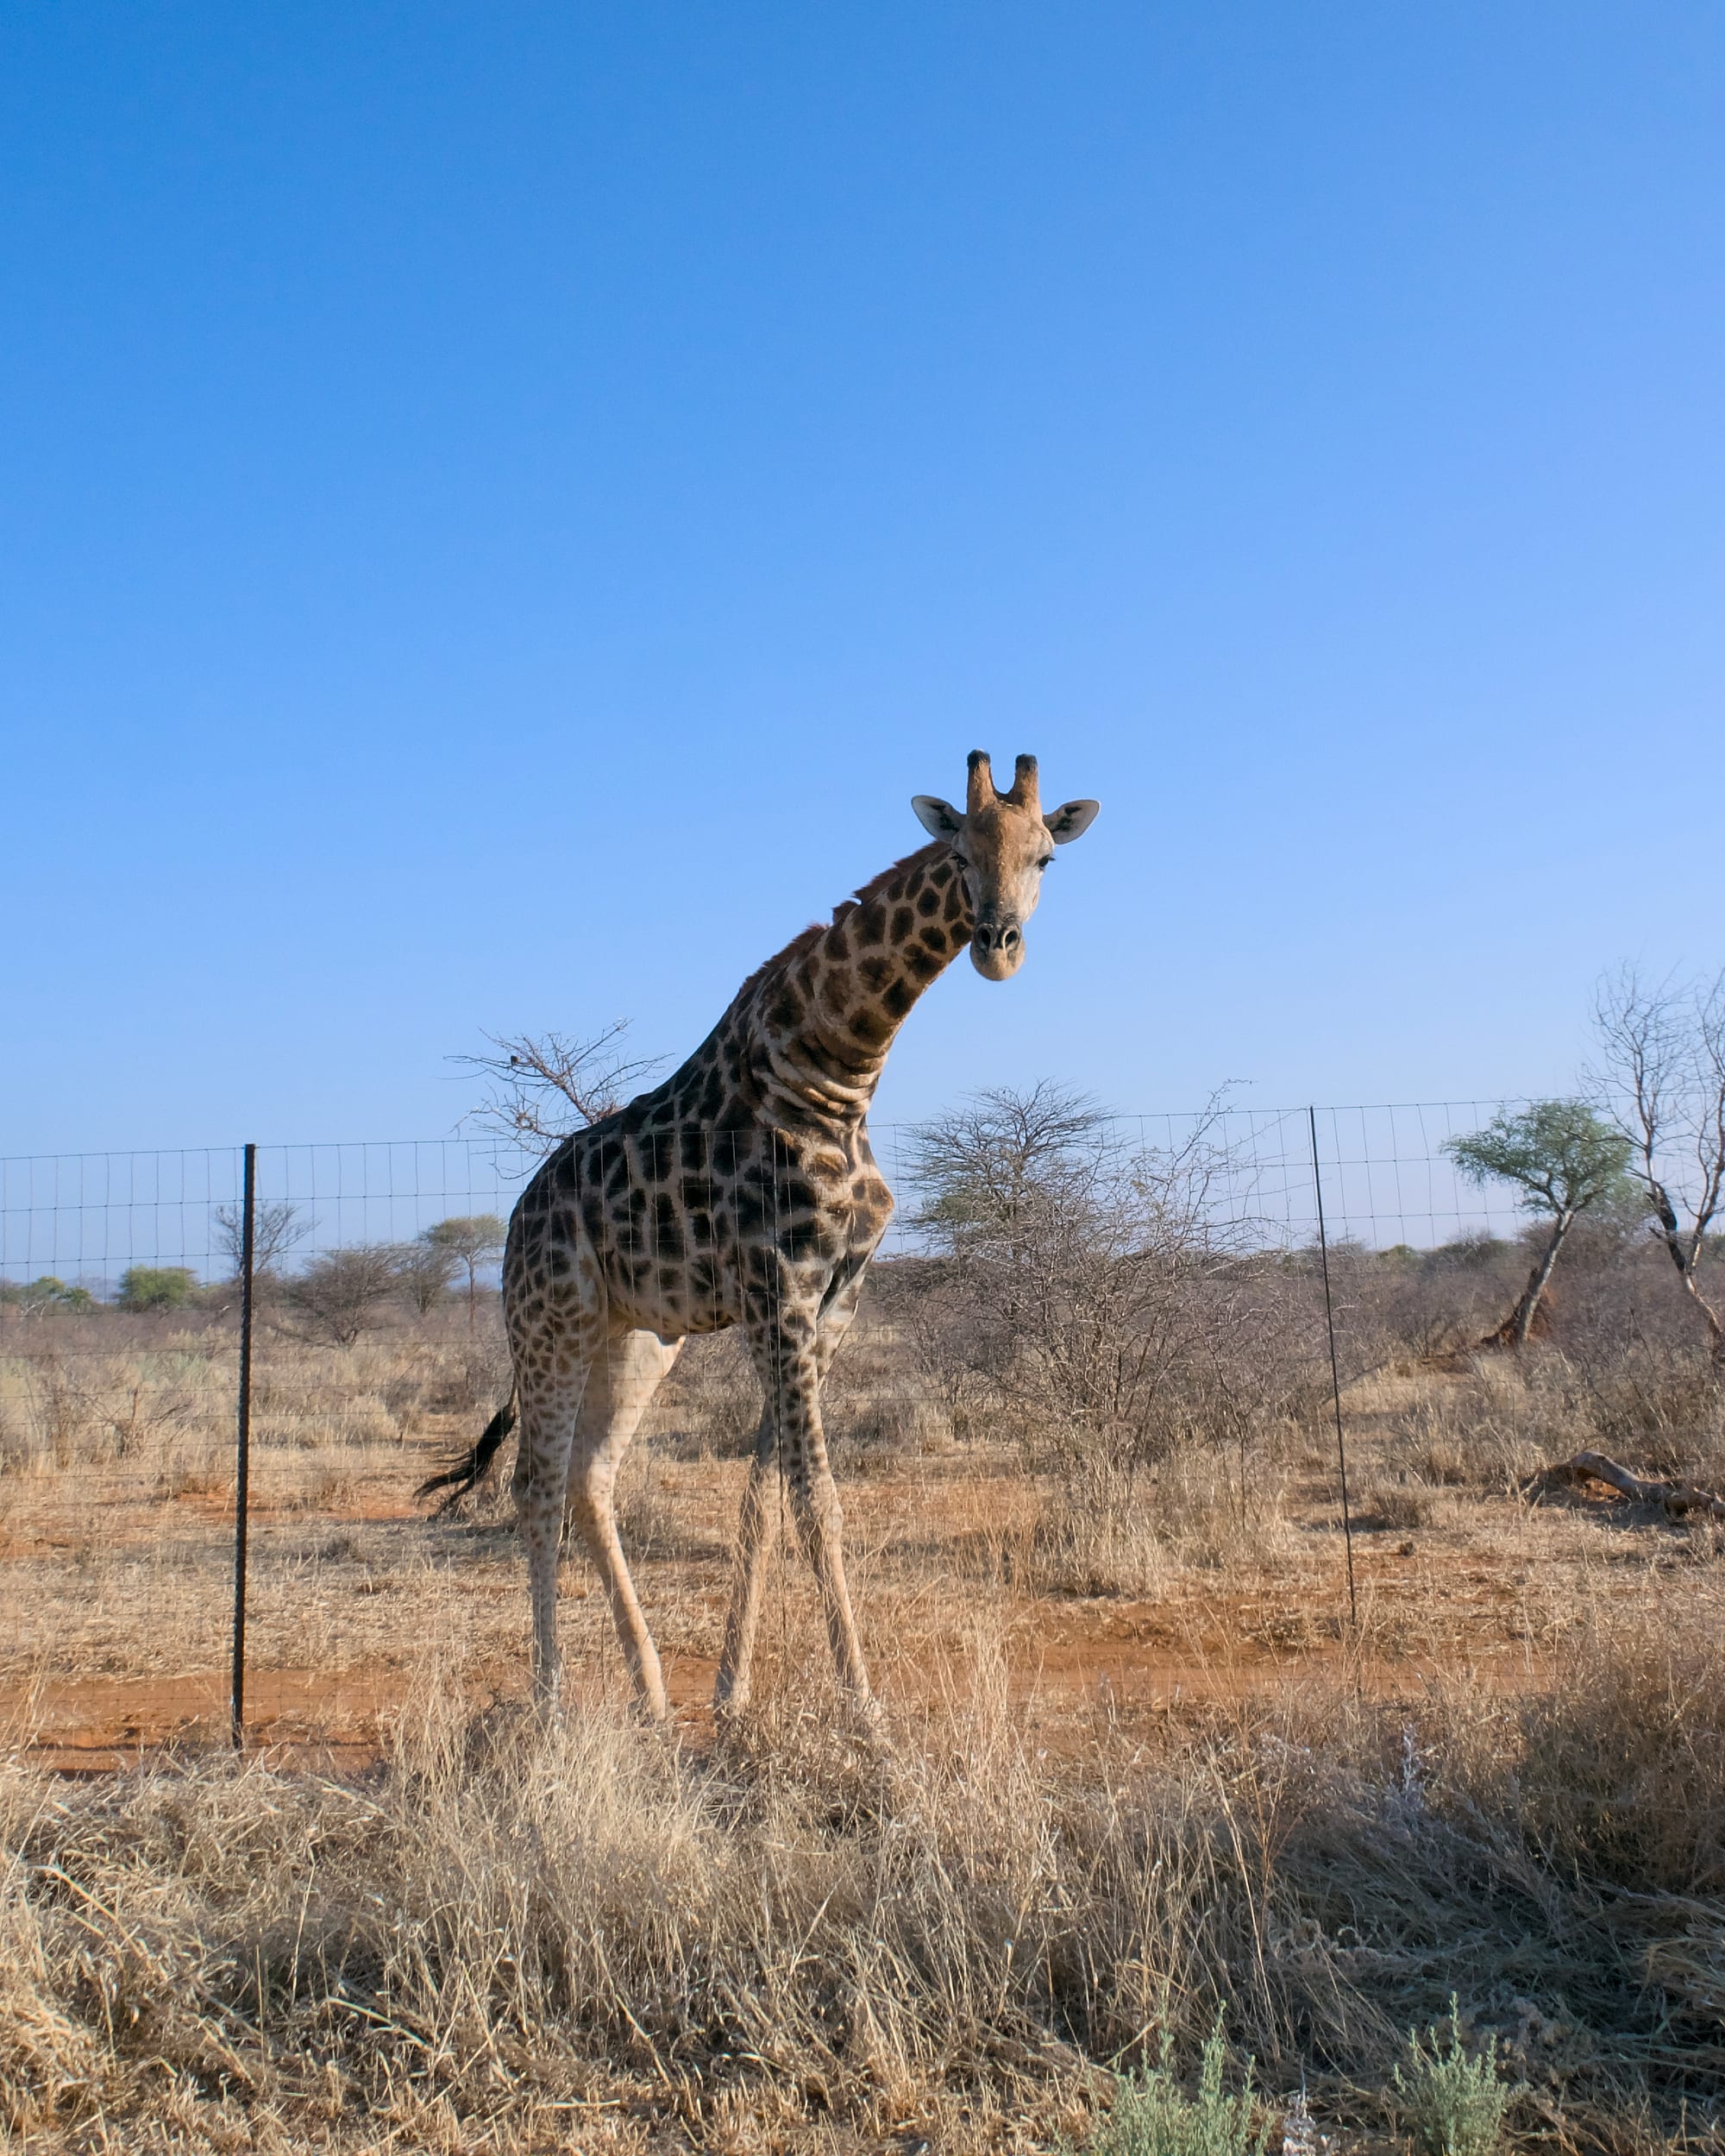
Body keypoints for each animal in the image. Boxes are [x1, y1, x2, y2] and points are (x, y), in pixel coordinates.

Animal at [421, 751, 1099, 1717]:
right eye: (958, 851)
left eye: (1045, 857)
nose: (995, 945)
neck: (838, 1070)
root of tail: (517, 1216)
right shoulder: (778, 1290)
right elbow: (818, 1501)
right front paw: (862, 1707)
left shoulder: (833, 1300)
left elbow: (766, 1502)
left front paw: (730, 1692)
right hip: (551, 1322)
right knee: (535, 1485)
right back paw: (549, 1697)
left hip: (639, 1337)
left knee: (591, 1481)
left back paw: (650, 1687)